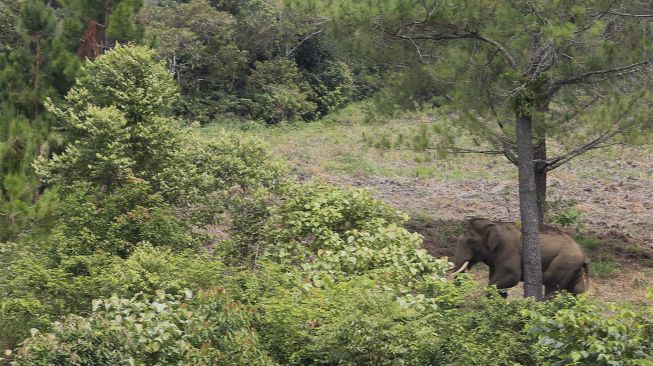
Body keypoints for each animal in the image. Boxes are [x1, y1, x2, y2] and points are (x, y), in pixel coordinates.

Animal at [450, 217, 588, 298]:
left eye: (471, 241)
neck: (496, 224)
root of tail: (583, 254)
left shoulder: (508, 249)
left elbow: (512, 276)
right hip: (573, 269)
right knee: (577, 290)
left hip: (563, 264)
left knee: (552, 289)